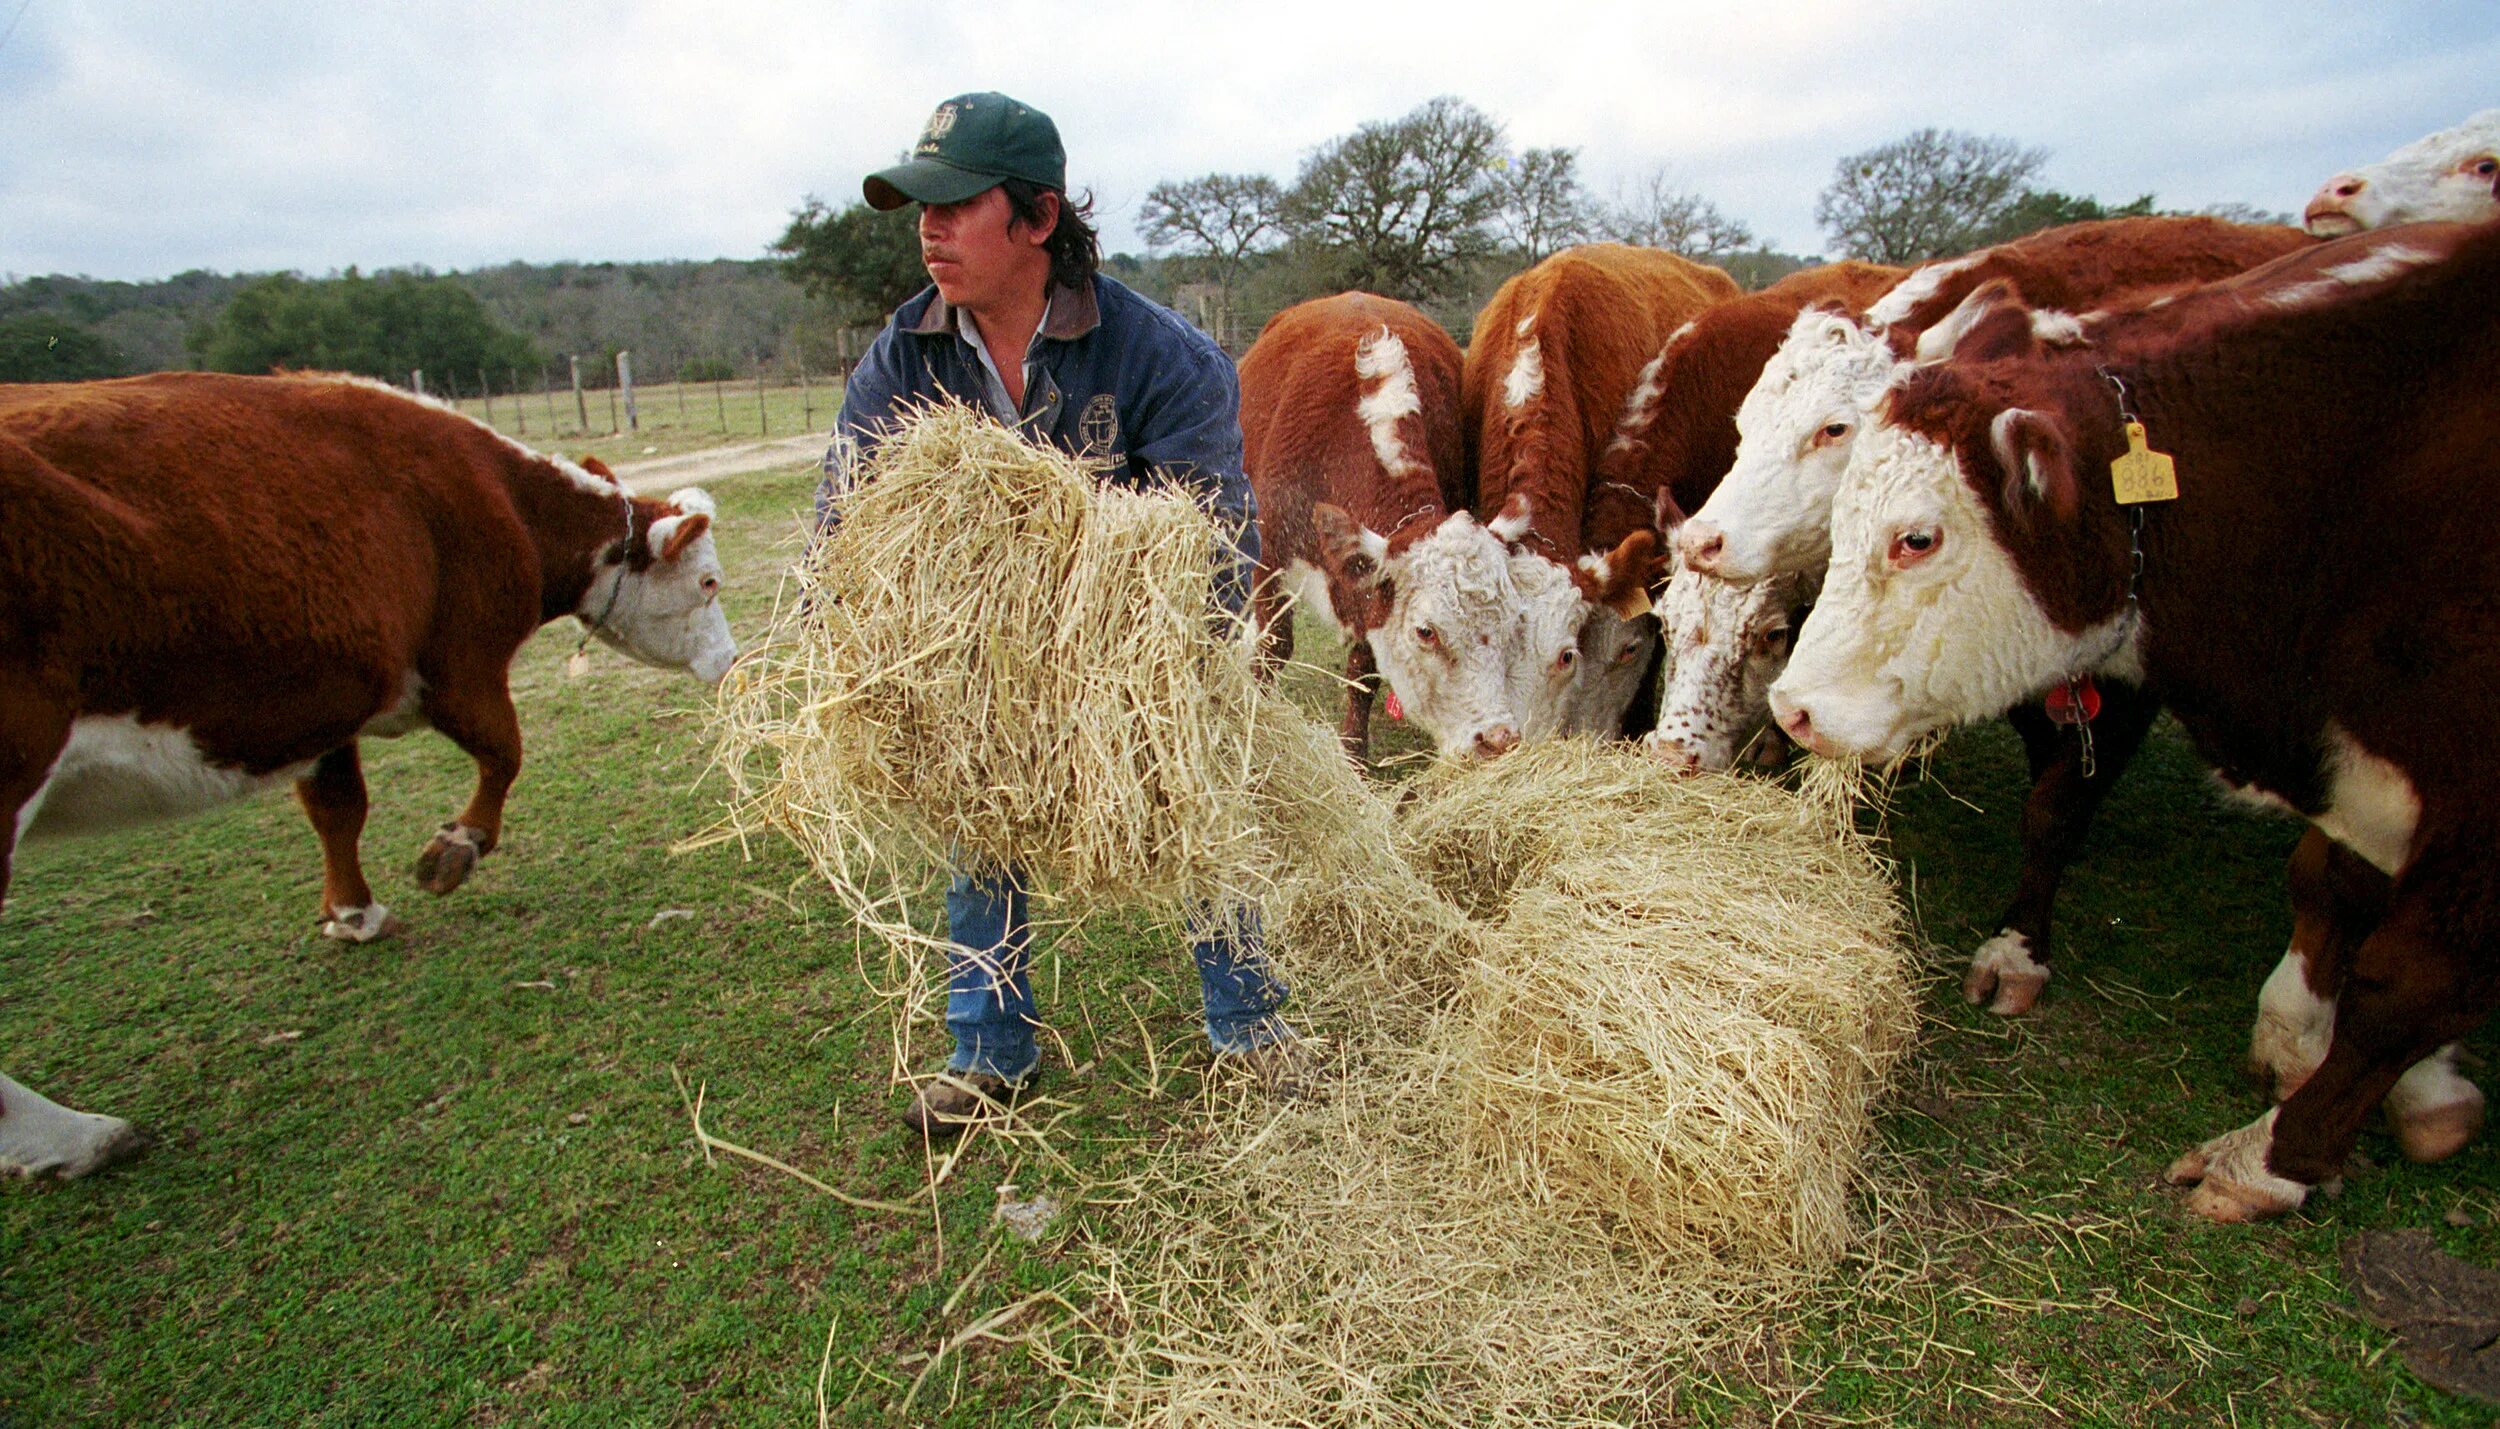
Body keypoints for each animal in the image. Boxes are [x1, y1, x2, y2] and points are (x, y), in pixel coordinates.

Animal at [0, 372, 735, 1184]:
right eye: (707, 581)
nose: (731, 661)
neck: (504, 501)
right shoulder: (460, 668)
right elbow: (504, 753)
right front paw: (455, 848)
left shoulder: (331, 707)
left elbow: (338, 807)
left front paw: (354, 911)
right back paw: (75, 1136)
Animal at [1245, 289, 1530, 759]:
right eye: (1426, 632)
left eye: (1512, 625)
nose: (1498, 738)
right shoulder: (1268, 552)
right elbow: (1273, 647)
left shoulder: (1368, 589)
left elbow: (1364, 672)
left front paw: (1354, 754)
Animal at [1770, 221, 2490, 1219]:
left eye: (1918, 537)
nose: (1791, 708)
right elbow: (2331, 885)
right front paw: (2306, 1041)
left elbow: (2399, 989)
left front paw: (2272, 1155)